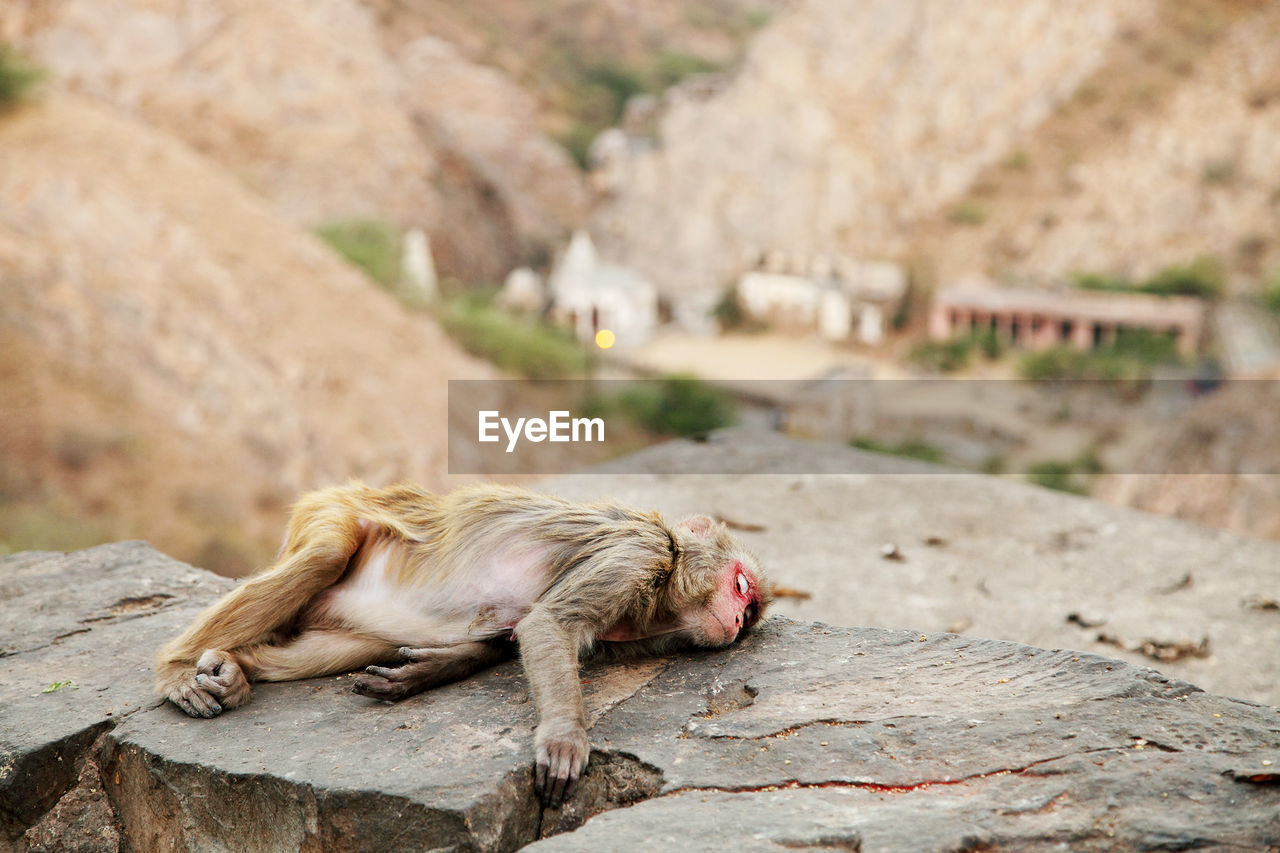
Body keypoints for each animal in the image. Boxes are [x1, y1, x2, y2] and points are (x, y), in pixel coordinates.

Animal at [153, 481, 762, 799]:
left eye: (750, 611)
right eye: (741, 587)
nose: (737, 621)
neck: (667, 578)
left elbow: (512, 635)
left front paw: (419, 674)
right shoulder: (636, 555)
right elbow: (548, 625)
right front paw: (565, 739)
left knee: (349, 642)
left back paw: (238, 668)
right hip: (332, 508)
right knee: (326, 553)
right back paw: (178, 668)